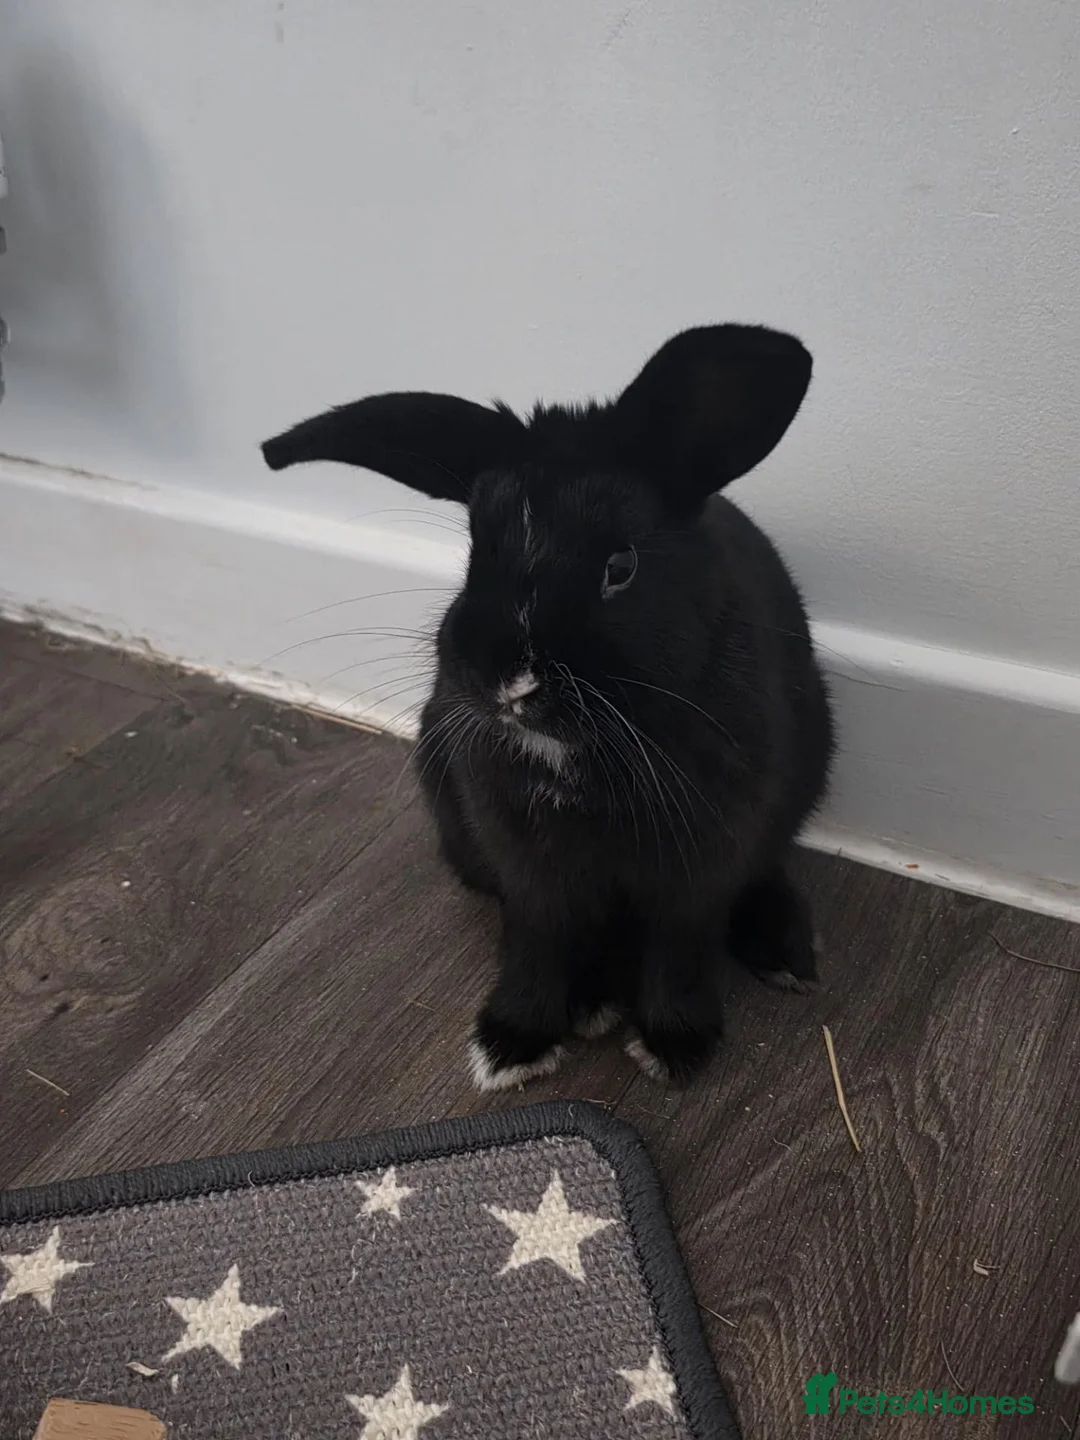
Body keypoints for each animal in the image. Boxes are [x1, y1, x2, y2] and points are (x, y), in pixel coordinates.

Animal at [262, 324, 834, 1090]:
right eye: (475, 554)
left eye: (620, 566)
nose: (508, 680)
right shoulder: (526, 863)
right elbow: (537, 942)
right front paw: (512, 1043)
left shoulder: (702, 859)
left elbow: (680, 947)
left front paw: (674, 1046)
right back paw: (590, 1003)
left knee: (764, 876)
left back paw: (785, 955)